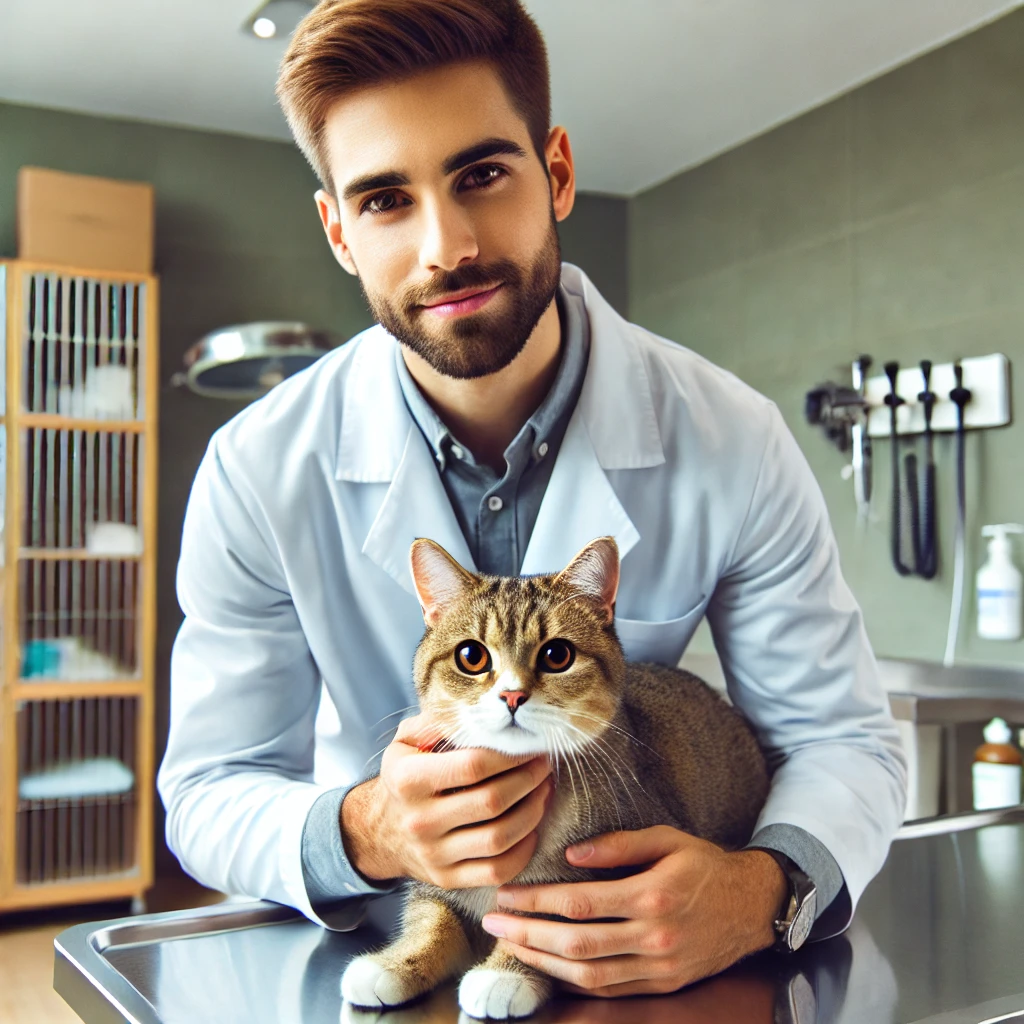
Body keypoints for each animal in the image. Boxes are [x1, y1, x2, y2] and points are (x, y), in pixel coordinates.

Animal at [344, 536, 770, 1015]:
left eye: (557, 655)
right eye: (471, 656)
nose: (512, 695)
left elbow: (539, 916)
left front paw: (505, 972)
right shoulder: (441, 877)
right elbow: (432, 915)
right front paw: (397, 962)